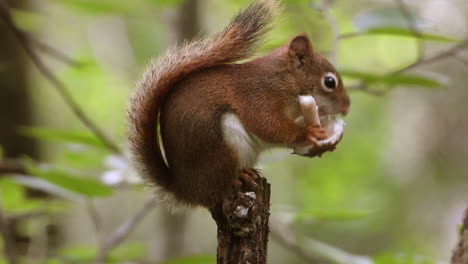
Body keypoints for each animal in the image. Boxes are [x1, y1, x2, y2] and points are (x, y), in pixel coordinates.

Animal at [126, 1, 350, 209]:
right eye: (329, 82)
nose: (347, 107)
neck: (284, 80)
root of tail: (188, 190)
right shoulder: (259, 98)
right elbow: (269, 126)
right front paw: (308, 132)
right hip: (220, 144)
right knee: (221, 183)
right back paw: (238, 178)